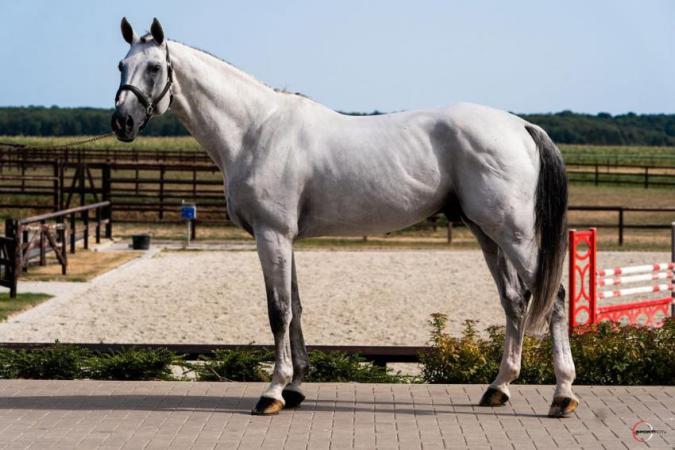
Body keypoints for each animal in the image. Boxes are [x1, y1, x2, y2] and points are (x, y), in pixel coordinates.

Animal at [112, 18, 578, 418]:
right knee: (514, 301)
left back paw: (562, 395)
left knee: (553, 298)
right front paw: (295, 388)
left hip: (514, 234)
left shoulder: (271, 234)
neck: (255, 130)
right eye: (120, 65)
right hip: (486, 232)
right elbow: (296, 308)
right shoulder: (285, 238)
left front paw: (272, 392)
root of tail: (520, 127)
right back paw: (499, 388)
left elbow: (278, 311)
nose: (121, 122)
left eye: (154, 66)